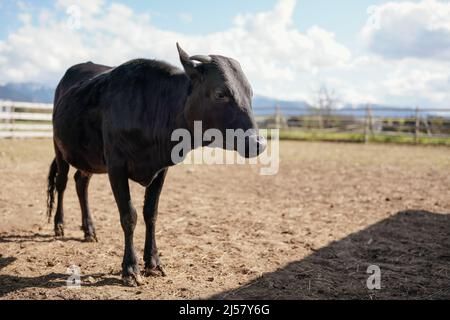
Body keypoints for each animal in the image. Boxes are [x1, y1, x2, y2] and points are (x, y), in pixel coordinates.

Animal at [46, 43, 264, 284]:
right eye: (220, 93)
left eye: (250, 93)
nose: (258, 143)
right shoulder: (116, 166)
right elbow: (129, 215)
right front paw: (130, 268)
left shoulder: (161, 170)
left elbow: (151, 213)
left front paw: (153, 262)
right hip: (59, 147)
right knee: (62, 183)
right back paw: (59, 226)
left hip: (88, 158)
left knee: (81, 183)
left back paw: (89, 229)